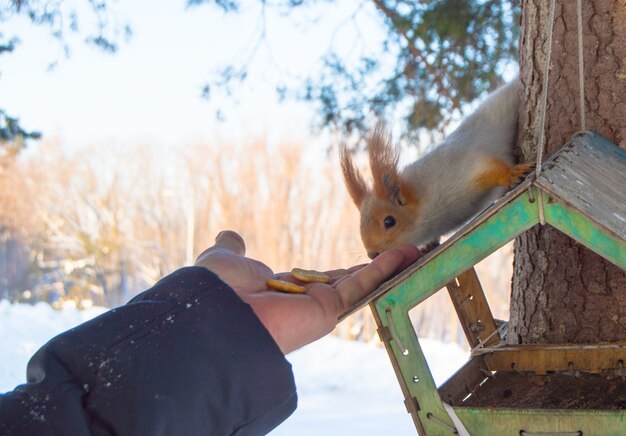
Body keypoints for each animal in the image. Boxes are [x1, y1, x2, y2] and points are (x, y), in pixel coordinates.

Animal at [338, 78, 528, 258]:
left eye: (389, 221)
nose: (372, 254)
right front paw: (429, 245)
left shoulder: (461, 167)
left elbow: (490, 167)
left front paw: (511, 174)